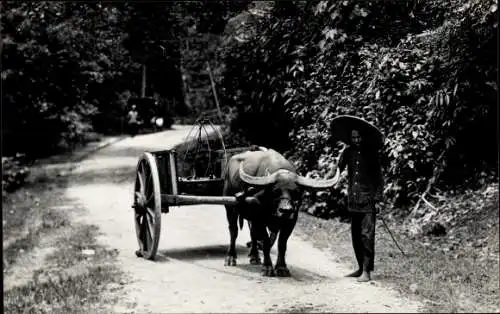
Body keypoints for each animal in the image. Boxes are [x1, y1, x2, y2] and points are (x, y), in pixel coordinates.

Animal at [223, 148, 340, 276]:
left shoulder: (291, 221)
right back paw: (230, 258)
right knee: (233, 231)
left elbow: (281, 244)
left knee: (252, 233)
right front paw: (267, 267)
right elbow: (266, 242)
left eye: (296, 192)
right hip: (230, 207)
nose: (286, 210)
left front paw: (281, 267)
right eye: (275, 191)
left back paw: (254, 257)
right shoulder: (259, 219)